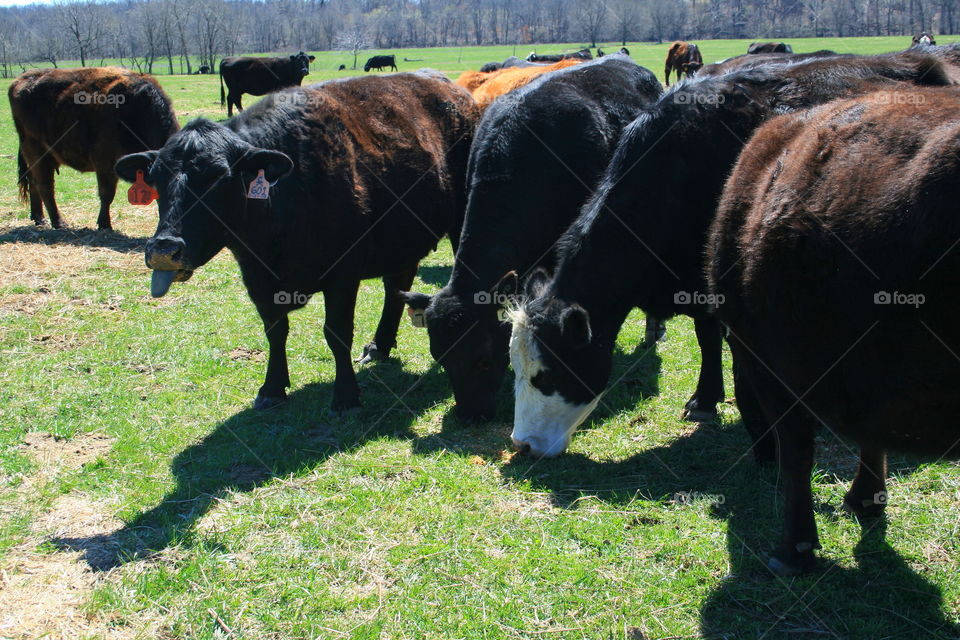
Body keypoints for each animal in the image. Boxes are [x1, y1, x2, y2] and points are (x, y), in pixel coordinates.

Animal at [9, 67, 178, 230]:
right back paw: (58, 222)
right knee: (45, 186)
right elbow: (107, 194)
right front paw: (104, 224)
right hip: (37, 152)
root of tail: (22, 79)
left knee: (33, 182)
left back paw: (39, 218)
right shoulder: (105, 163)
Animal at [115, 71, 478, 412]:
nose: (164, 249)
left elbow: (337, 333)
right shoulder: (257, 278)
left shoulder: (343, 274)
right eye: (156, 178)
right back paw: (380, 345)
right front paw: (272, 387)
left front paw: (345, 395)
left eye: (218, 177)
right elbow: (275, 331)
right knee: (396, 286)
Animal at [507, 49, 957, 459]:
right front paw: (705, 400)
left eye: (546, 375)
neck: (679, 171)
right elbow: (707, 338)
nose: (522, 444)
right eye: (515, 369)